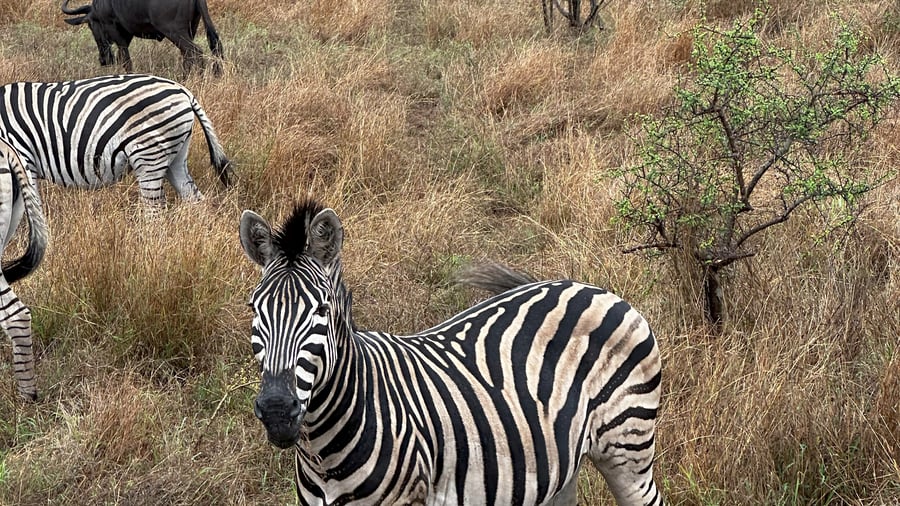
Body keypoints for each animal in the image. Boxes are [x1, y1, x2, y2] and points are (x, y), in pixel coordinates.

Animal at [0, 74, 231, 206]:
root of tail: (183, 91)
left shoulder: (21, 158)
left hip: (149, 154)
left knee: (154, 210)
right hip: (175, 154)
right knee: (193, 199)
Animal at [239, 199, 664, 505]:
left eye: (322, 312)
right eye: (254, 309)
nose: (277, 410)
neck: (321, 449)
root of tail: (587, 287)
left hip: (628, 447)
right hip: (561, 467)